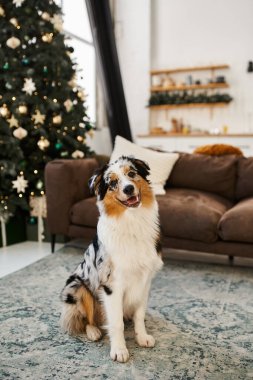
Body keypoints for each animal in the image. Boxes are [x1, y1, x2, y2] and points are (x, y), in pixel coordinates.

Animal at [60, 155, 163, 362]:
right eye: (113, 183)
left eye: (131, 173)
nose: (129, 188)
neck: (132, 221)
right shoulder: (111, 284)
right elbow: (116, 323)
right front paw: (120, 350)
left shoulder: (145, 280)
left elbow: (139, 314)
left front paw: (142, 337)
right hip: (77, 287)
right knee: (87, 319)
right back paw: (93, 332)